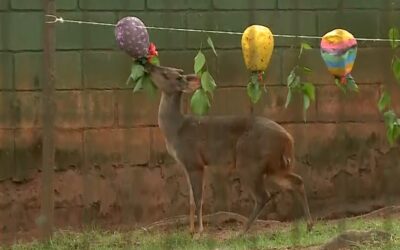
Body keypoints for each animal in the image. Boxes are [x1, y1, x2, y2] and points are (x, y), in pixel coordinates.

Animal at [145, 62, 314, 234]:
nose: (149, 67)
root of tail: (289, 139)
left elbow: (198, 199)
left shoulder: (194, 161)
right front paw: (191, 232)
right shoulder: (186, 164)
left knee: (263, 196)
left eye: (166, 74)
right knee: (297, 181)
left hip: (249, 160)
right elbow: (191, 200)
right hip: (275, 165)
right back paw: (309, 224)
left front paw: (199, 232)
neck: (176, 129)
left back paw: (242, 231)